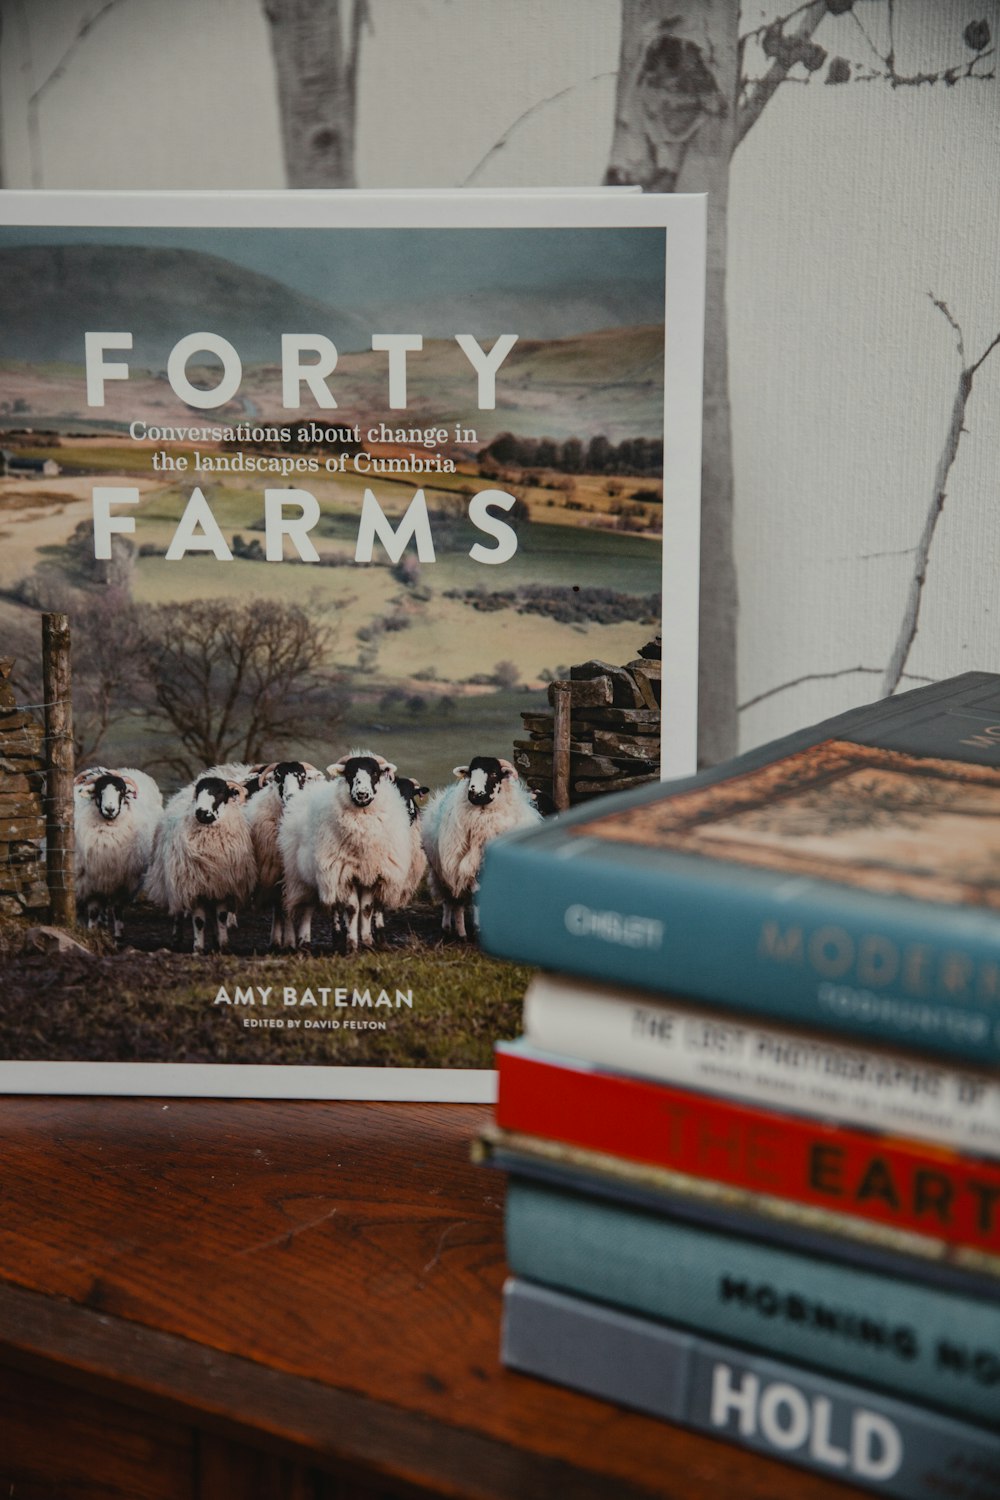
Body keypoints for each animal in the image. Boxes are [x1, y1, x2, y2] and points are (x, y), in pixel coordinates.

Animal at [73, 774, 162, 936]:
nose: (110, 809)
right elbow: (93, 912)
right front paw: (92, 933)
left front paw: (118, 937)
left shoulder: (122, 884)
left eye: (121, 792)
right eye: (99, 791)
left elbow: (118, 912)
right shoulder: (92, 883)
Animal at [148, 774, 260, 948]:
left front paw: (222, 943)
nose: (201, 812)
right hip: (175, 881)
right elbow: (199, 921)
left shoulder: (221, 886)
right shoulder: (195, 888)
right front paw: (198, 947)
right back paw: (176, 937)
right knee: (178, 910)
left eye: (221, 791)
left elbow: (221, 917)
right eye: (199, 792)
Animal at [275, 750, 413, 948]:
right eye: (349, 773)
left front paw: (367, 941)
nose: (362, 794)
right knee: (310, 908)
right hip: (305, 876)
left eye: (375, 773)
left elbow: (366, 908)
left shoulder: (371, 873)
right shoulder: (344, 872)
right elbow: (352, 908)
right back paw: (307, 940)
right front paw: (352, 943)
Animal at [425, 762, 548, 936]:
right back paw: (452, 928)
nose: (474, 792)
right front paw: (478, 927)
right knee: (452, 900)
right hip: (443, 872)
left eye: (494, 774)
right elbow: (477, 897)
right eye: (471, 773)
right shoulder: (472, 869)